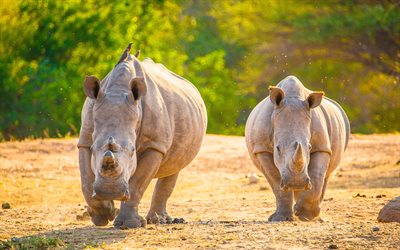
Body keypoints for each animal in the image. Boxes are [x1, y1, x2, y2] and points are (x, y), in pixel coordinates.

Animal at [77, 44, 206, 228]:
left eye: (133, 152)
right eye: (94, 149)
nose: (110, 191)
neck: (118, 90)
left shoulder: (155, 145)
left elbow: (138, 183)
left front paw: (129, 224)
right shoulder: (85, 139)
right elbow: (86, 181)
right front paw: (103, 215)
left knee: (175, 166)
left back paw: (159, 220)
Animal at [245, 75, 348, 221]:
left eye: (309, 147)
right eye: (277, 148)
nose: (296, 183)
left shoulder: (322, 147)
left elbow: (317, 175)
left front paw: (306, 215)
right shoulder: (261, 149)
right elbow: (276, 182)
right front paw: (281, 218)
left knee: (325, 176)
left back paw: (316, 216)